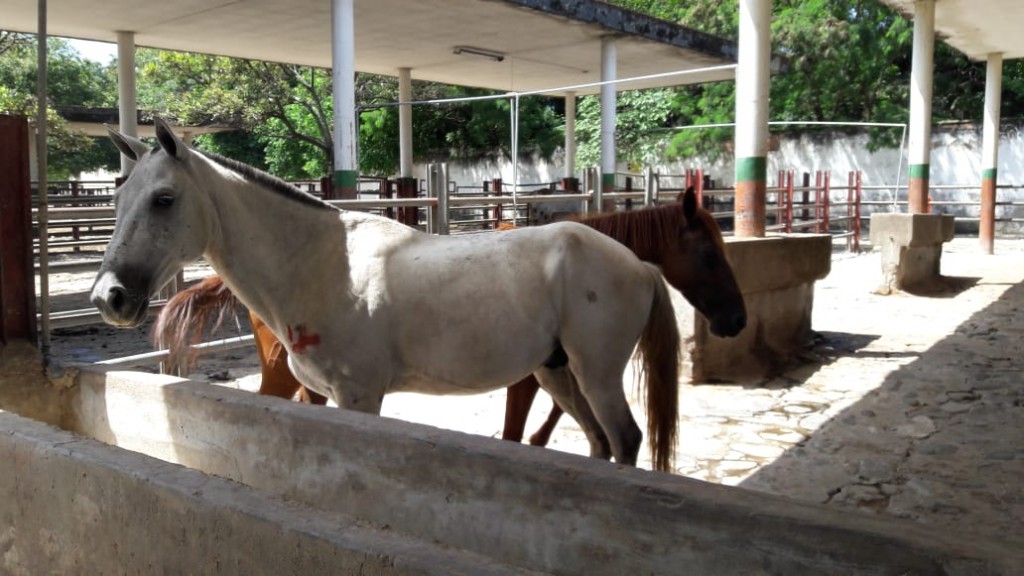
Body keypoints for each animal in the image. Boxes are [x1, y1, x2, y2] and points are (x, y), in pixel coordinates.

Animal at [92, 118, 681, 471]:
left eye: (164, 199)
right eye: (117, 200)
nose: (108, 297)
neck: (321, 264)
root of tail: (638, 264)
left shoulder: (360, 397)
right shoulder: (316, 394)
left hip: (596, 374)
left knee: (625, 439)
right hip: (557, 372)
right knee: (601, 443)